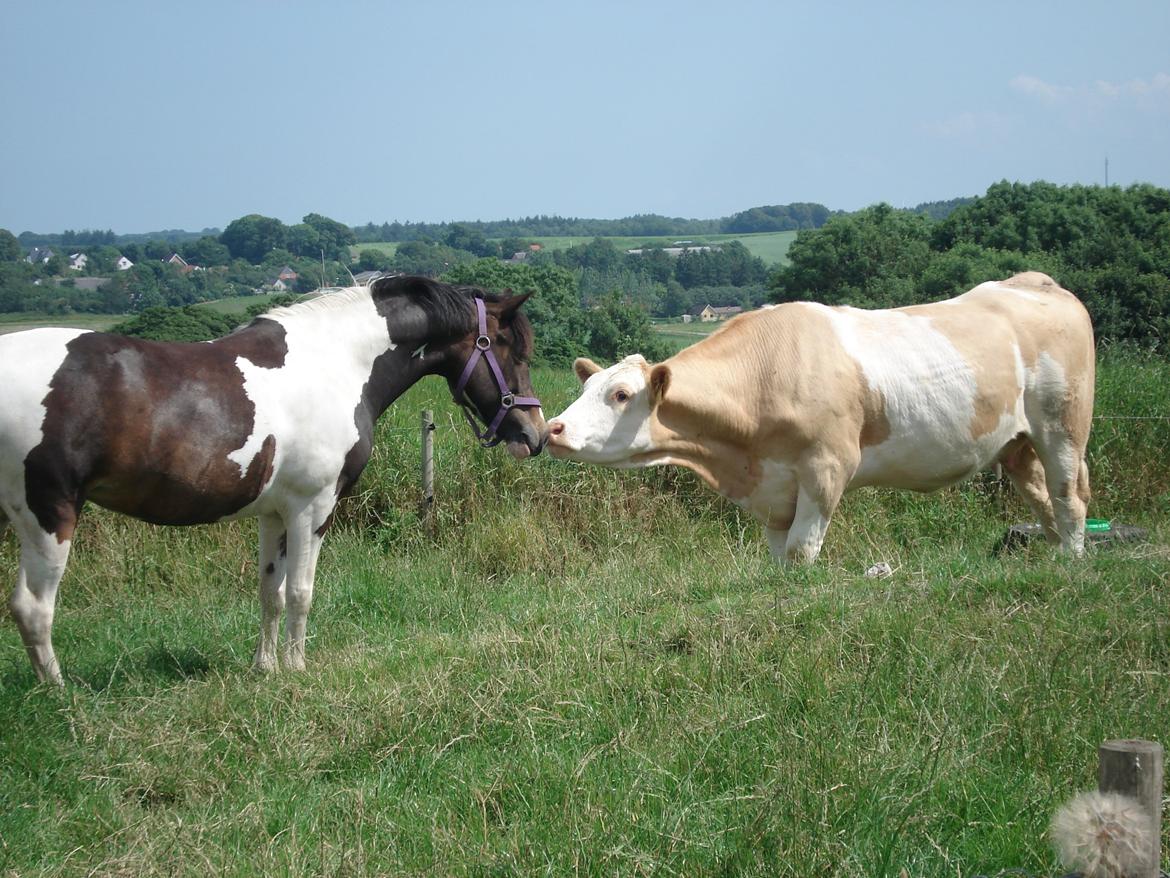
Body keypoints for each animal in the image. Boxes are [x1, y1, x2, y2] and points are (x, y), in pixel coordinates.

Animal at [0, 278, 547, 683]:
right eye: (507, 347)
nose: (535, 434)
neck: (337, 363)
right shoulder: (313, 508)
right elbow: (301, 591)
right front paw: (298, 668)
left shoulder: (273, 513)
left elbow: (271, 591)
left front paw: (266, 668)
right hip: (49, 514)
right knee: (33, 608)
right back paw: (60, 696)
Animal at [547, 271, 1095, 566]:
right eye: (587, 388)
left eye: (620, 394)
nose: (552, 428)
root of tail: (1036, 282)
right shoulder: (771, 488)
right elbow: (778, 555)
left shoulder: (827, 467)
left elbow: (801, 552)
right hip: (1017, 444)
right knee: (1043, 499)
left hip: (1063, 427)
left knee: (1068, 498)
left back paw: (1071, 564)